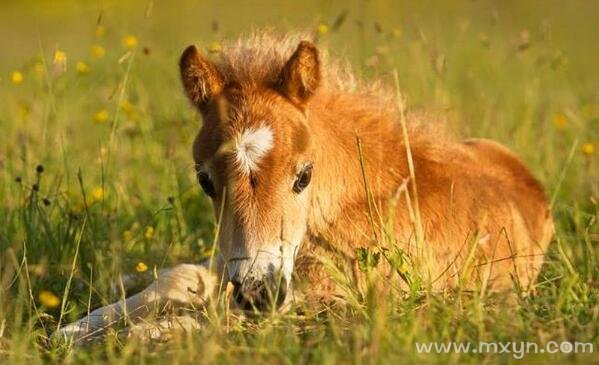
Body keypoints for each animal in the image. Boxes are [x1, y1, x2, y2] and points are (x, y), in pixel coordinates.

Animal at [58, 32, 556, 340]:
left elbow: (207, 324)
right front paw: (71, 333)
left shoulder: (330, 305)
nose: (258, 291)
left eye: (303, 175)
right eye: (204, 179)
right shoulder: (237, 264)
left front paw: (128, 339)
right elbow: (181, 280)